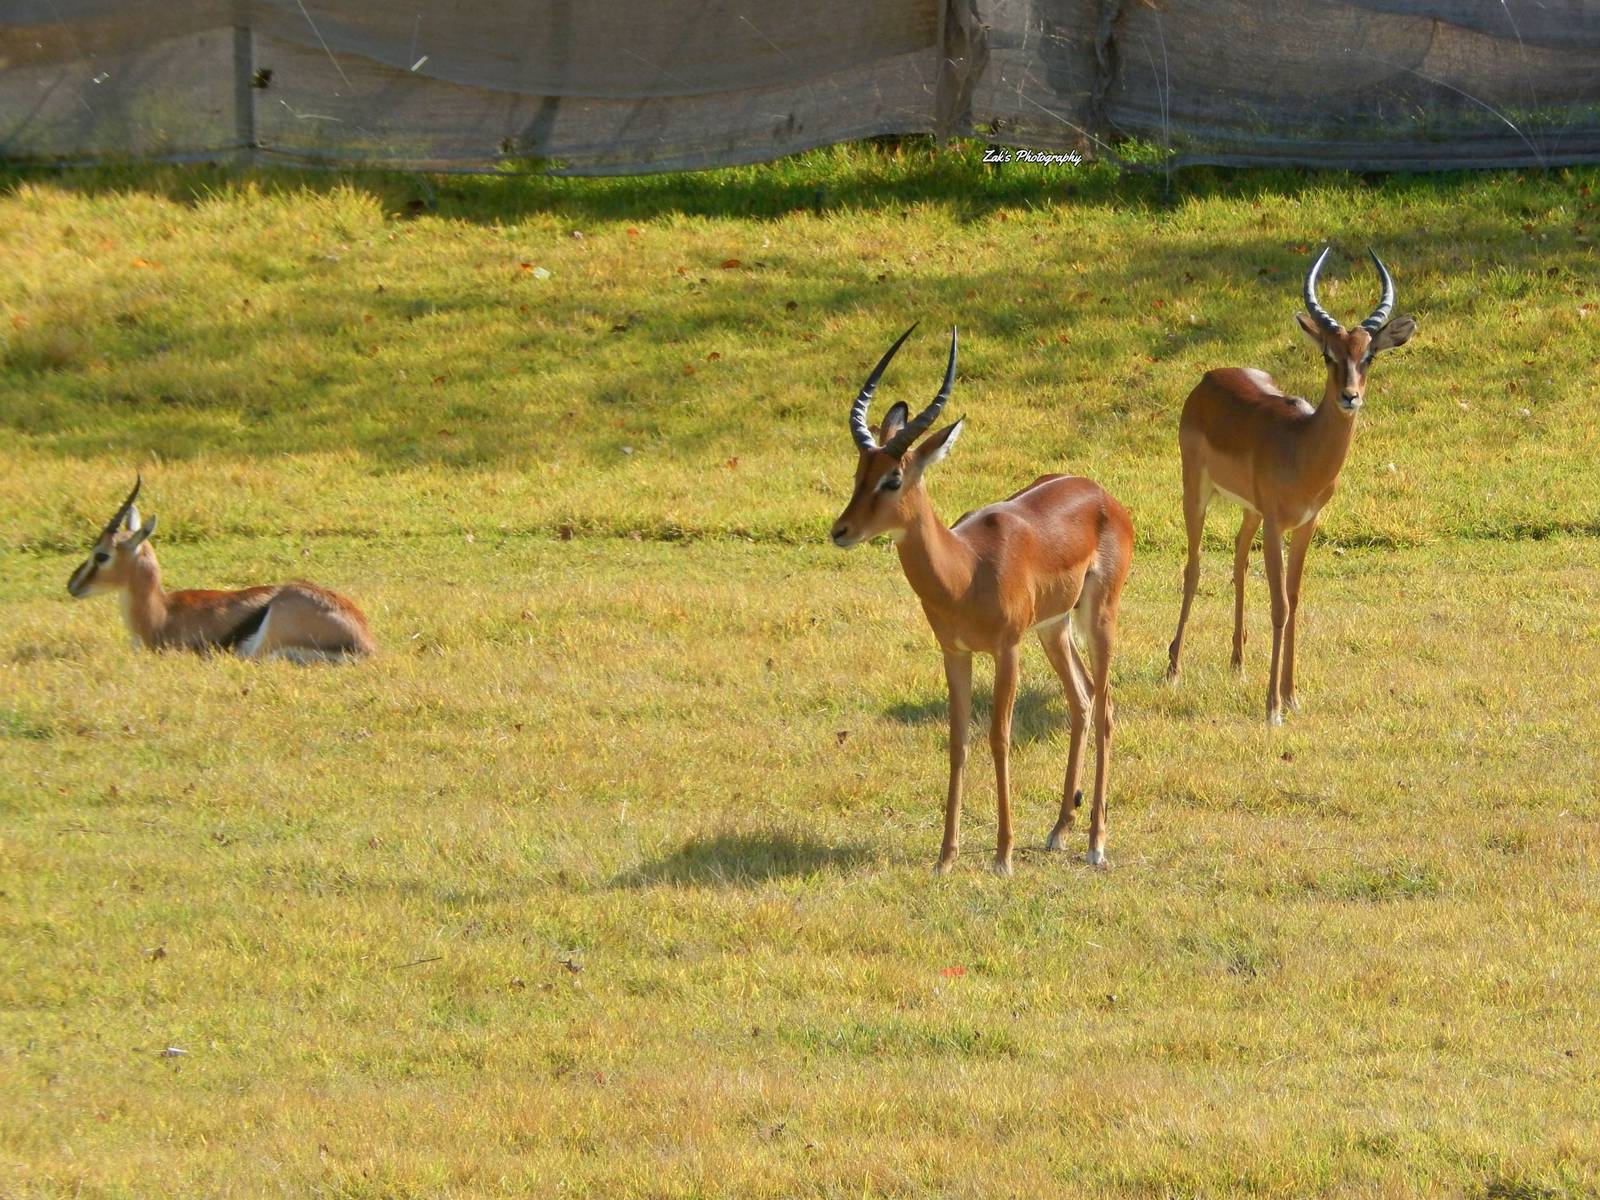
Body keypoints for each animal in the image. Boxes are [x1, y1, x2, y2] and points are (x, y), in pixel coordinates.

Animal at [831, 325, 1134, 875]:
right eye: (858, 473)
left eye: (893, 478)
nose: (840, 531)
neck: (965, 570)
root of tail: (1102, 494)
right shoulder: (955, 653)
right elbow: (959, 740)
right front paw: (945, 857)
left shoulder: (1006, 650)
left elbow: (998, 737)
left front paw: (1002, 855)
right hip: (1054, 628)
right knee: (1080, 700)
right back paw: (1059, 830)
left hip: (1099, 616)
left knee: (1104, 709)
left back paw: (1096, 844)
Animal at [1166, 247, 1416, 723]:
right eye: (1328, 355)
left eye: (1369, 356)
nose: (1350, 396)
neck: (1301, 448)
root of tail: (1209, 377)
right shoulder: (1276, 525)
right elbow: (1280, 605)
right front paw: (1273, 708)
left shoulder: (1305, 525)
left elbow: (1295, 600)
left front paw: (1292, 695)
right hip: (1196, 491)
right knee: (1194, 567)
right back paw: (1172, 668)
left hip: (1249, 511)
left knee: (1238, 561)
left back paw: (1237, 663)